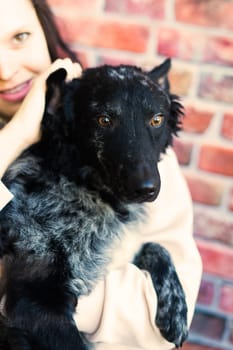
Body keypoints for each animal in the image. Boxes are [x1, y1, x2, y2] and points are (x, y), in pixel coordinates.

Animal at [0, 58, 187, 348]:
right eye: (104, 120)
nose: (146, 189)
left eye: (157, 119)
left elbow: (156, 246)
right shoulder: (35, 301)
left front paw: (176, 309)